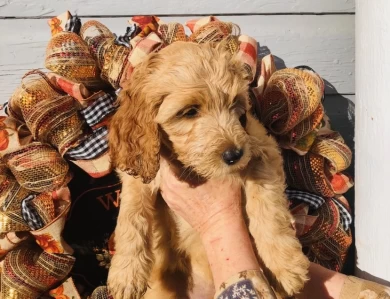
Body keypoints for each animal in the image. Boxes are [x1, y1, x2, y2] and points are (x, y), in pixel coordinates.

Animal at [108, 41, 310, 298]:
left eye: (235, 105)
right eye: (189, 111)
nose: (234, 155)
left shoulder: (262, 148)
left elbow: (267, 206)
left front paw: (284, 265)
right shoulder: (142, 174)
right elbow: (131, 214)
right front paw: (126, 273)